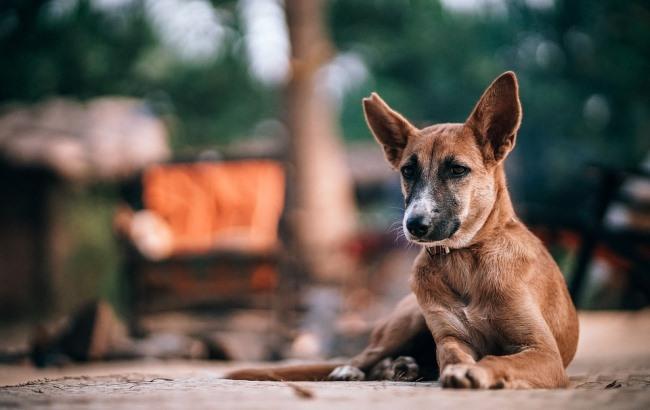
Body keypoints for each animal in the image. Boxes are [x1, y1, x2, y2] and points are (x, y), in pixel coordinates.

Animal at [224, 72, 576, 390]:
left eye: (457, 170)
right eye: (408, 171)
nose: (414, 224)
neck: (464, 259)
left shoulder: (544, 353)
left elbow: (497, 358)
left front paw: (476, 372)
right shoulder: (450, 338)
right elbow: (453, 355)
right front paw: (459, 369)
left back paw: (401, 368)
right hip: (408, 320)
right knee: (367, 354)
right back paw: (361, 369)